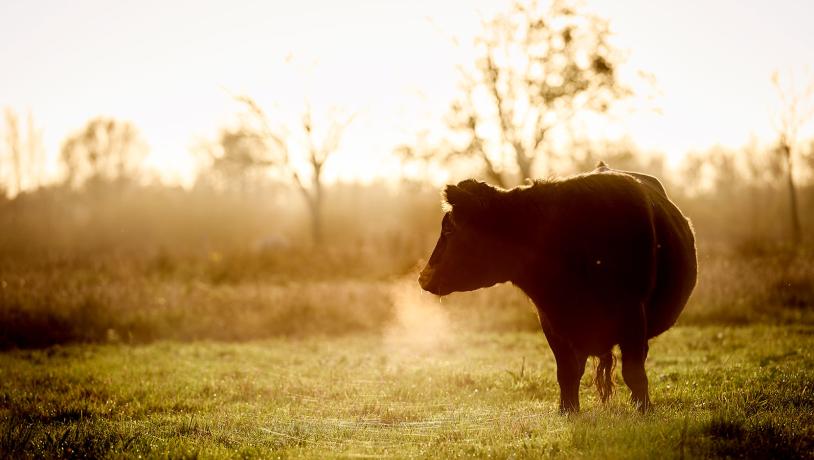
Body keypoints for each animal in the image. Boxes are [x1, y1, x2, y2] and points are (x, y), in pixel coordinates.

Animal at [418, 163, 700, 414]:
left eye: (449, 229)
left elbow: (633, 372)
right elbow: (566, 372)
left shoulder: (633, 314)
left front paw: (644, 410)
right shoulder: (552, 321)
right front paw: (568, 410)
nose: (423, 277)